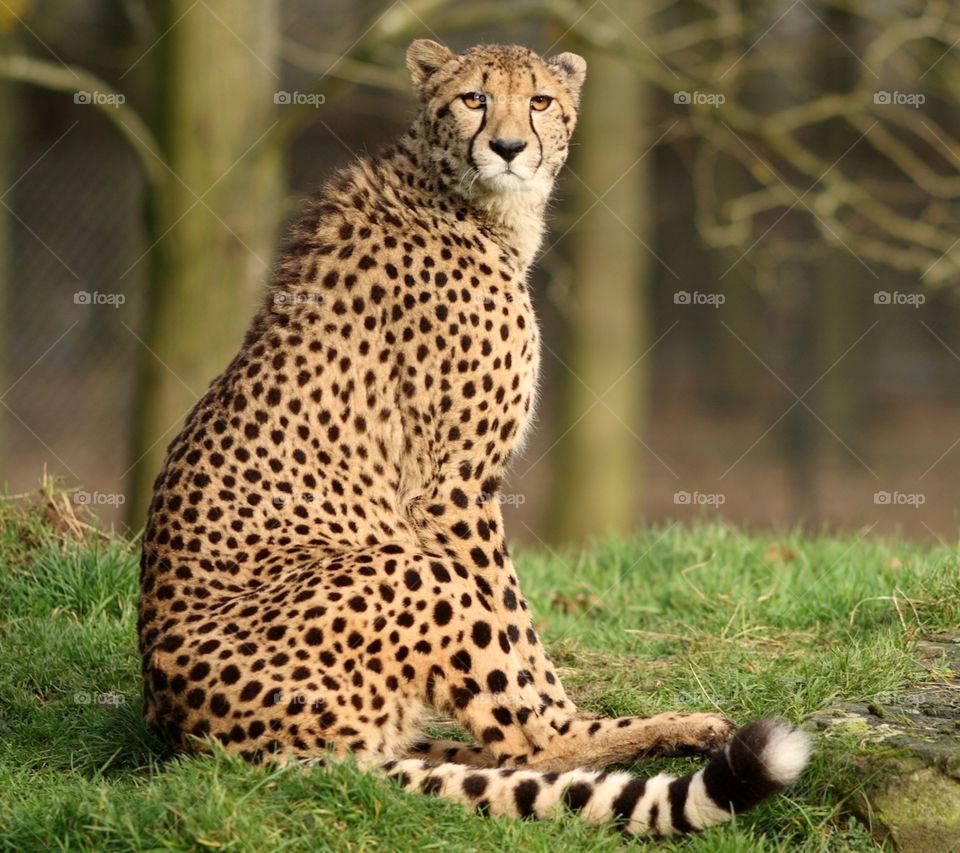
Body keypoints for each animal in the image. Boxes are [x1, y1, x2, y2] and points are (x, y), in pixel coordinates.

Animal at [138, 39, 810, 837]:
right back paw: (656, 729)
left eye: (540, 101)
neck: (468, 203)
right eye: (473, 99)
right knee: (530, 743)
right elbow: (518, 633)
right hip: (400, 566)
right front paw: (565, 706)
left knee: (487, 752)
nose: (509, 148)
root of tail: (196, 735)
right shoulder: (451, 490)